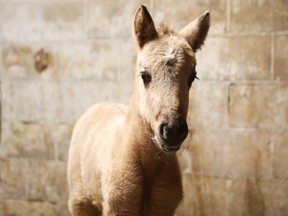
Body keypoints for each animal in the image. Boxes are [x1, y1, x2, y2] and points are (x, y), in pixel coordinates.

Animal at [68, 5, 210, 216]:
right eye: (144, 75)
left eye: (192, 77)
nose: (172, 131)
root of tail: (98, 106)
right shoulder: (117, 209)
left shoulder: (163, 209)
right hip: (80, 202)